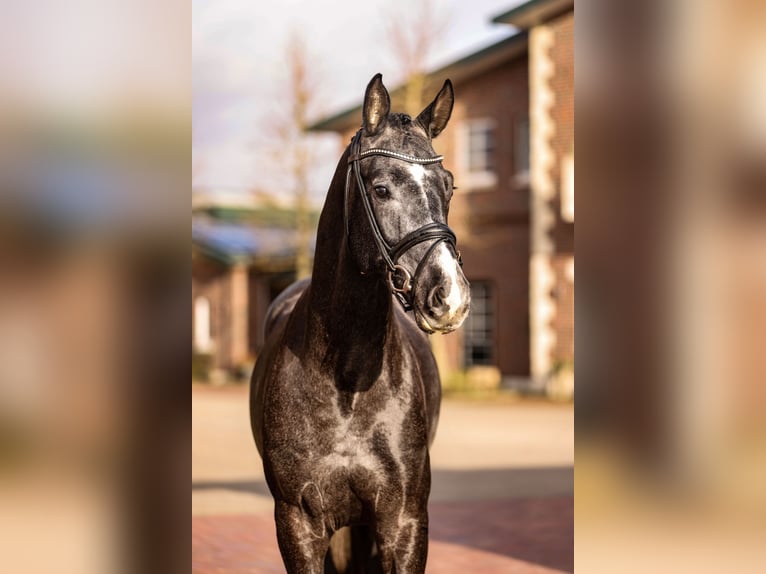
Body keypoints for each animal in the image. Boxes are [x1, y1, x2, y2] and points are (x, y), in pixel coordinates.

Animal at [250, 73, 471, 573]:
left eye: (448, 186)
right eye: (381, 188)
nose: (449, 296)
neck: (346, 382)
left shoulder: (403, 522)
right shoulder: (298, 525)